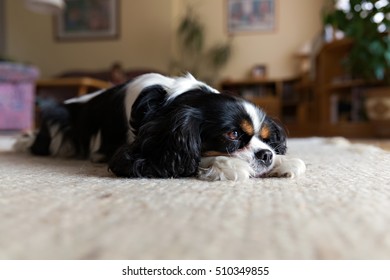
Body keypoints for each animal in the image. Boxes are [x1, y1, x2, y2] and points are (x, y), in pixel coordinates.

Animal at [19, 73, 304, 180]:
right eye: (232, 134)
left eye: (266, 138)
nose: (265, 154)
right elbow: (192, 158)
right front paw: (230, 165)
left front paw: (283, 161)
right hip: (57, 121)